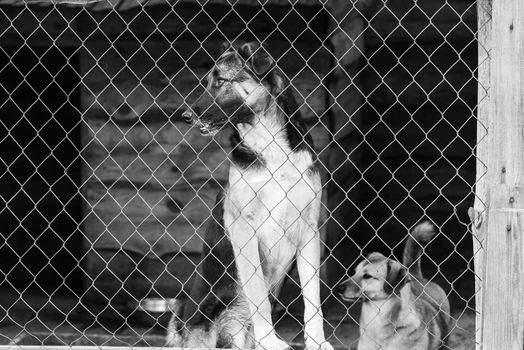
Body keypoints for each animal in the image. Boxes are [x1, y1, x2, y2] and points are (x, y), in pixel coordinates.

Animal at [166, 42, 334, 350]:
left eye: (221, 80)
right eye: (207, 81)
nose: (185, 116)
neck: (269, 146)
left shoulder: (309, 230)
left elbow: (312, 299)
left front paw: (317, 341)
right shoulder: (245, 230)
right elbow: (257, 294)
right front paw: (271, 340)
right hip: (192, 319)